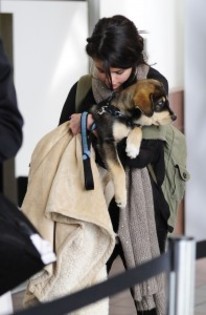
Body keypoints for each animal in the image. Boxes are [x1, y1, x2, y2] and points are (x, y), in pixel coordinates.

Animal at [90, 79, 177, 209]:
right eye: (160, 103)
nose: (175, 117)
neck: (122, 113)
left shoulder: (133, 125)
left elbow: (137, 129)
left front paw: (132, 149)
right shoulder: (106, 141)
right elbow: (118, 170)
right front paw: (121, 198)